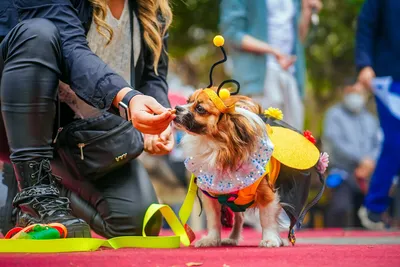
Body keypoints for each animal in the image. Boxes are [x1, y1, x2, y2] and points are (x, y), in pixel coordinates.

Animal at [172, 88, 288, 249]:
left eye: (200, 108)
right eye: (187, 101)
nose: (176, 108)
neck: (214, 146)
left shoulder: (266, 193)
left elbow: (267, 219)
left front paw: (270, 239)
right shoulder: (211, 196)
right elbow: (214, 220)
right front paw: (211, 239)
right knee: (239, 218)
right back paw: (232, 238)